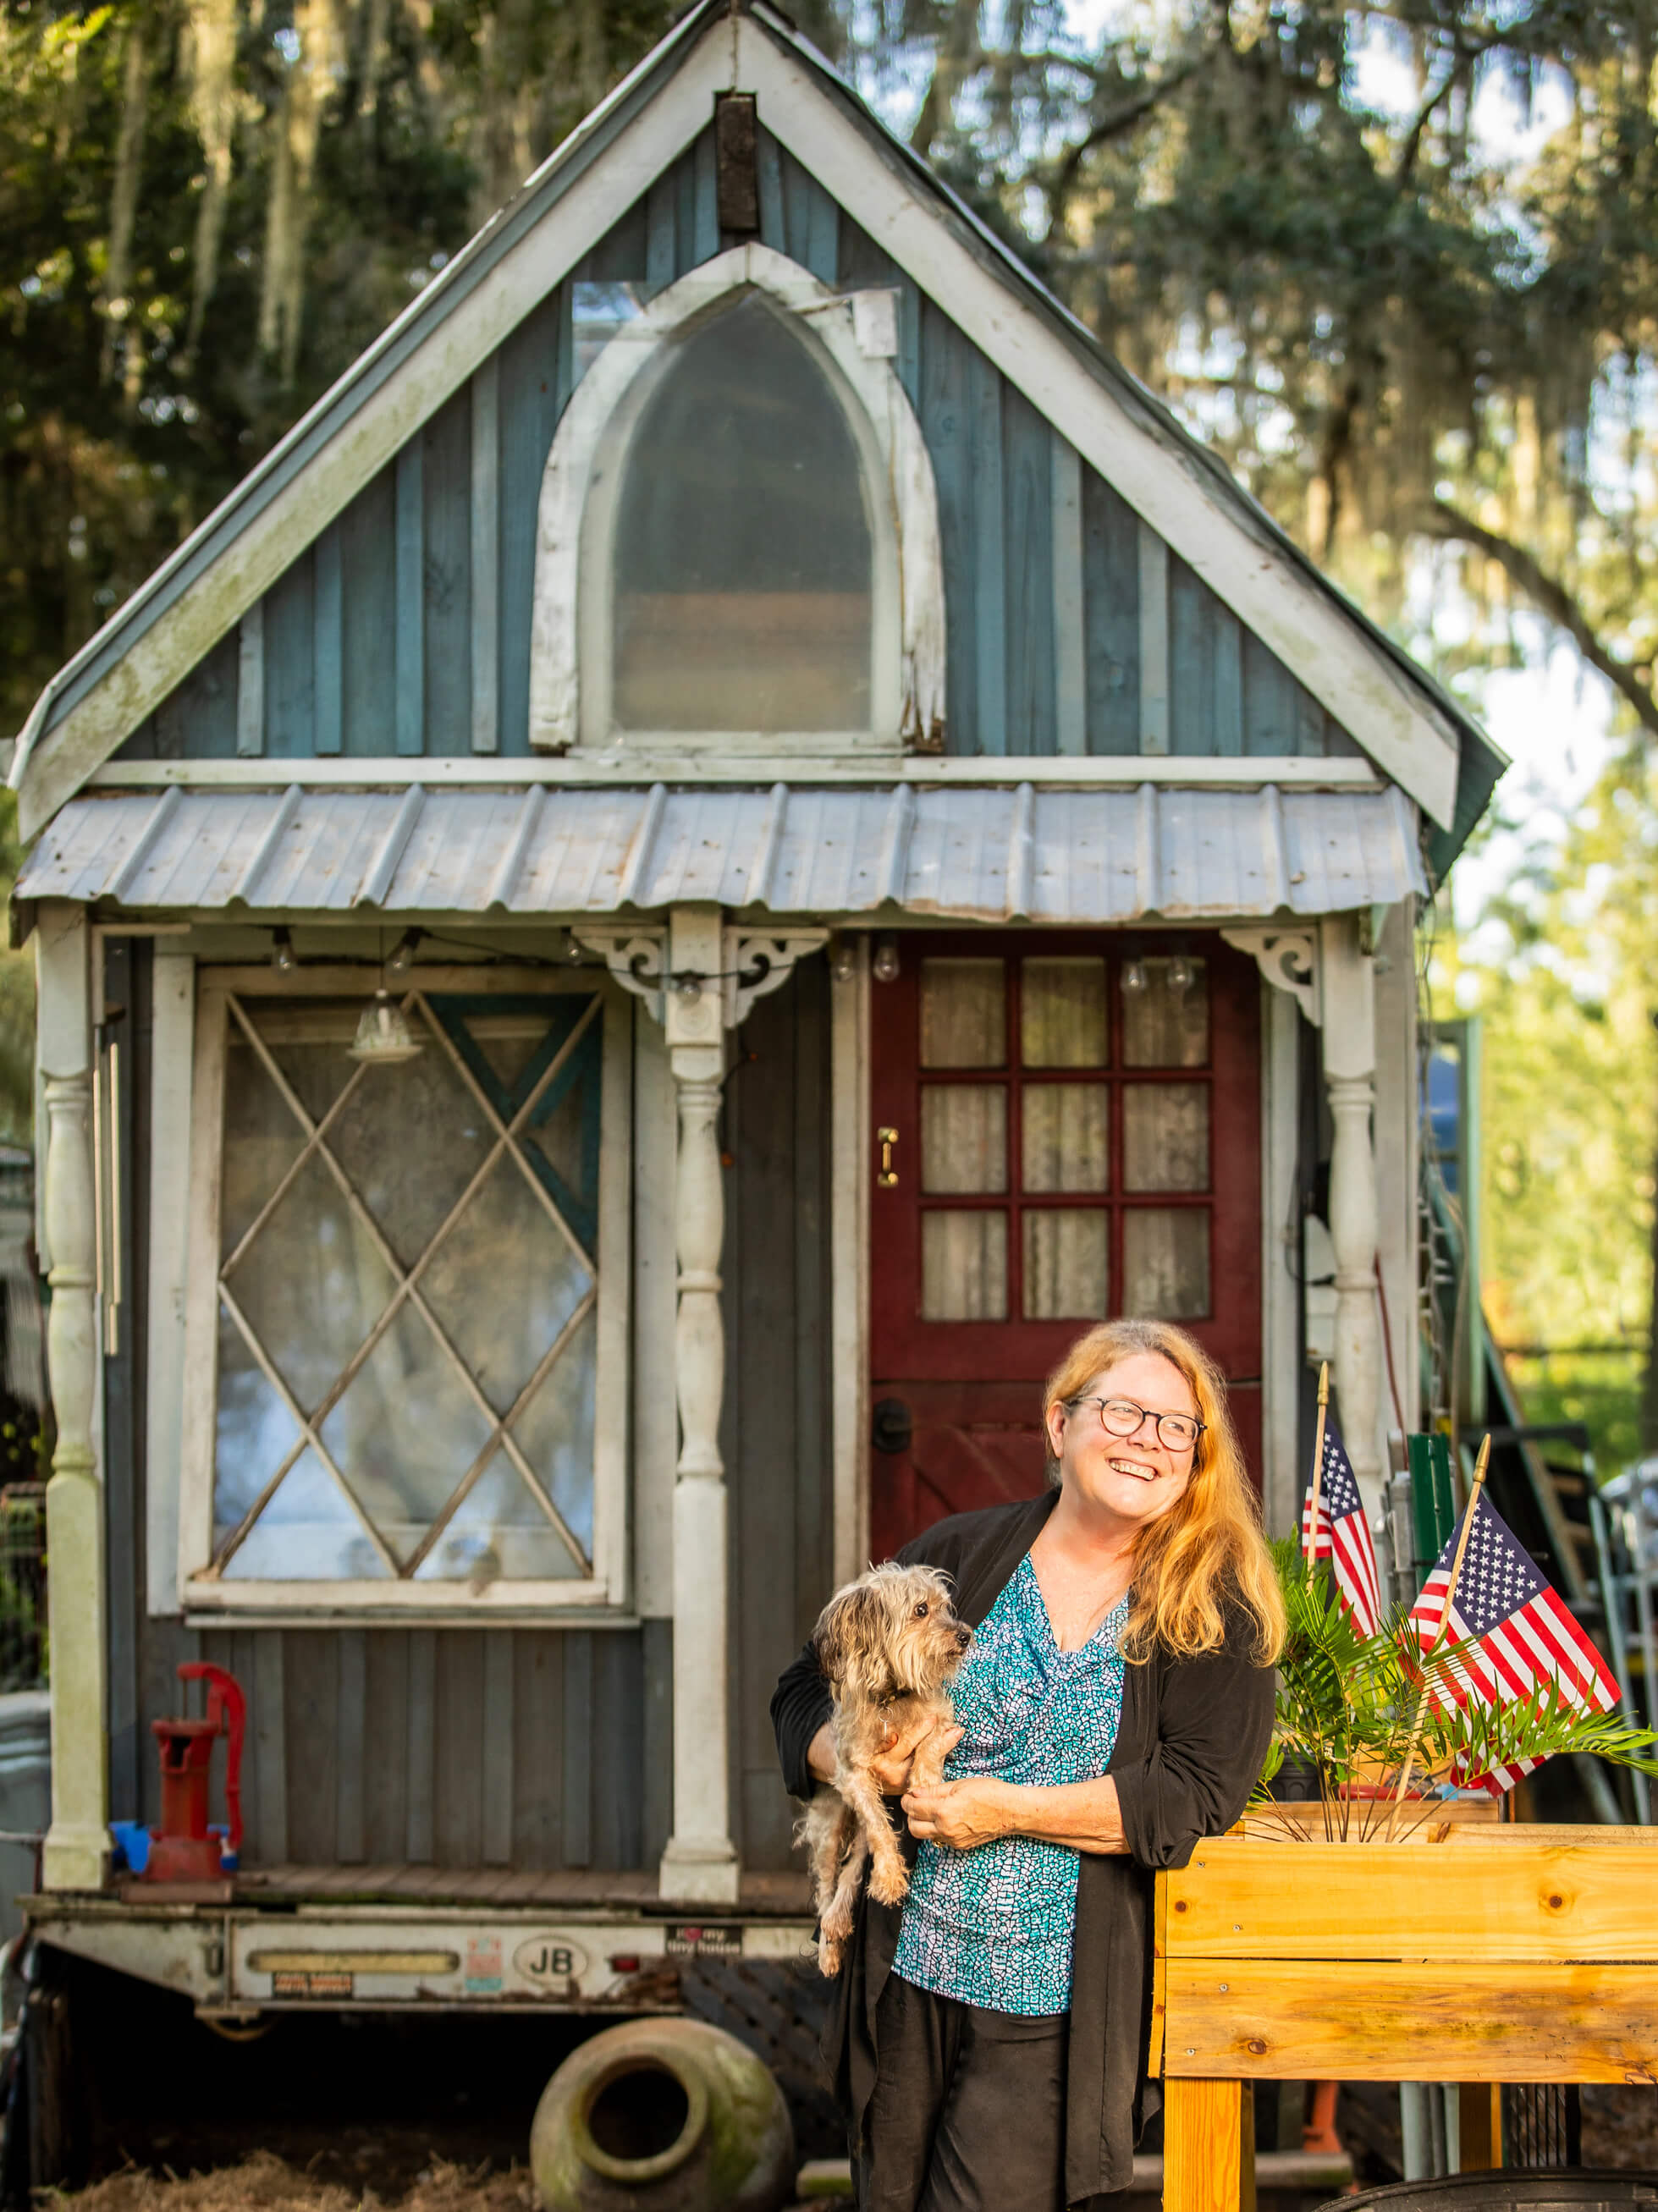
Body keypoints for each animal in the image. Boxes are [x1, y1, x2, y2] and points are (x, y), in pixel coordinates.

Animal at [796, 1565, 969, 1982]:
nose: (965, 1635)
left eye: (946, 1607)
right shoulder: (854, 1774)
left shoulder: (941, 1721)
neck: (891, 1697)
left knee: (853, 1868)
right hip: (830, 1827)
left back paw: (840, 1920)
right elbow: (878, 1826)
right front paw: (890, 1877)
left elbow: (928, 1750)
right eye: (921, 1609)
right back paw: (829, 1944)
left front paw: (925, 1786)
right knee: (828, 1886)